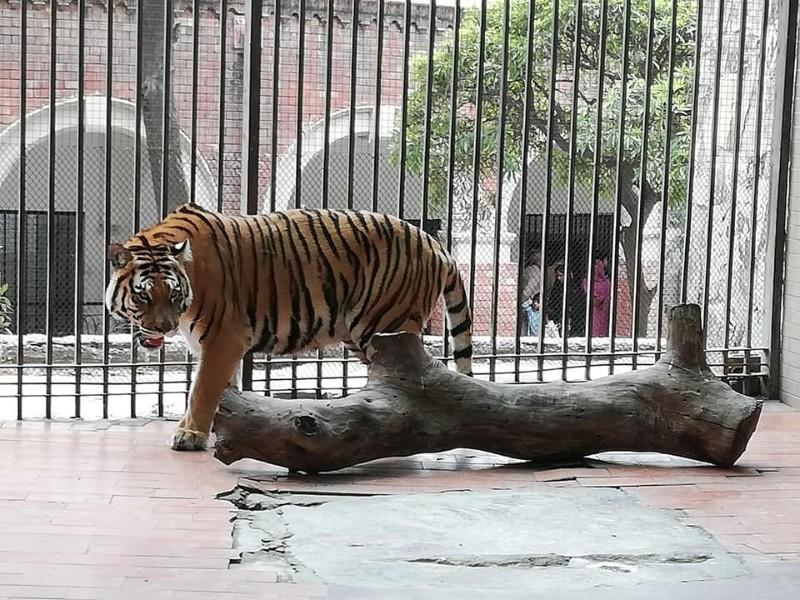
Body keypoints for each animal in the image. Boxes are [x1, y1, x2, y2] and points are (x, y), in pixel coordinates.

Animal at [105, 203, 474, 451]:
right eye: (143, 295)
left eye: (173, 294)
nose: (164, 327)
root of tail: (436, 245)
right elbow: (222, 389)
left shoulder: (224, 337)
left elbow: (202, 390)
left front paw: (190, 435)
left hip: (385, 325)